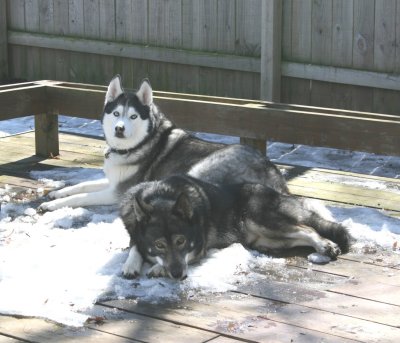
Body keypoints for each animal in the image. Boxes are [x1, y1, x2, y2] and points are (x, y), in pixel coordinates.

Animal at [39, 76, 288, 212]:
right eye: (116, 113)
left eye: (133, 116)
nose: (119, 129)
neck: (138, 145)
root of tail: (272, 172)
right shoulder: (113, 181)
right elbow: (81, 186)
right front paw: (56, 193)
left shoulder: (118, 191)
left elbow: (82, 197)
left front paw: (53, 205)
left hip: (198, 170)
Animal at [119, 175, 350, 280]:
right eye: (159, 245)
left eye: (181, 241)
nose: (178, 275)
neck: (162, 195)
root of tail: (280, 194)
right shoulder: (134, 232)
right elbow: (135, 246)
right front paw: (131, 264)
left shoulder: (198, 248)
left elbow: (183, 257)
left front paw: (158, 268)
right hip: (268, 237)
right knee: (299, 234)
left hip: (262, 221)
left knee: (308, 229)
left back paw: (326, 246)